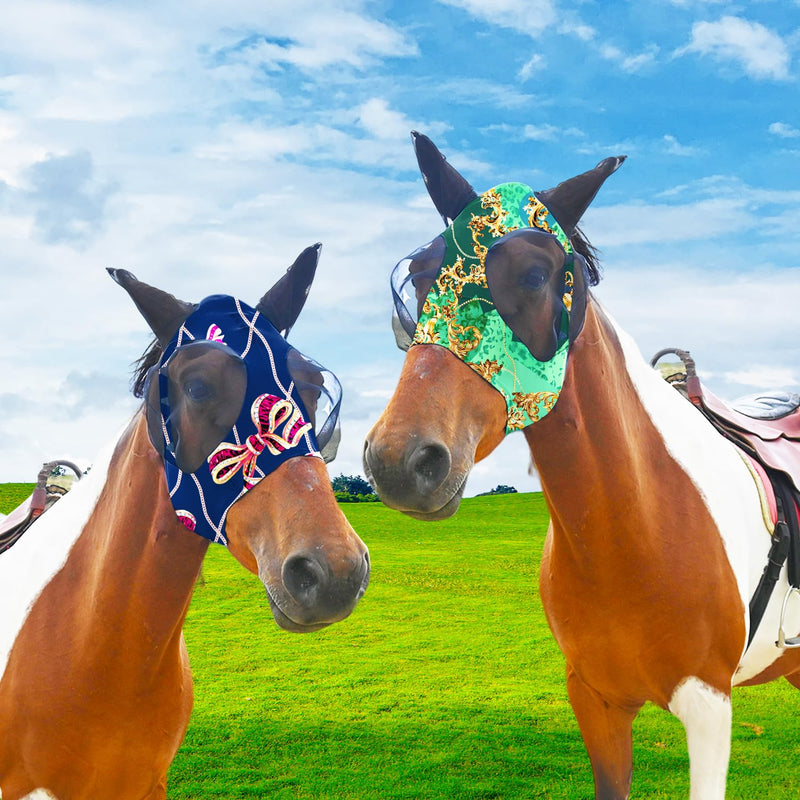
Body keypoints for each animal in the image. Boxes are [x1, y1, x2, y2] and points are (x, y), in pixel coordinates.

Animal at [363, 132, 800, 799]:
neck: (637, 525)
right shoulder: (596, 702)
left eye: (535, 275)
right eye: (417, 277)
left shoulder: (709, 710)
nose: (399, 460)